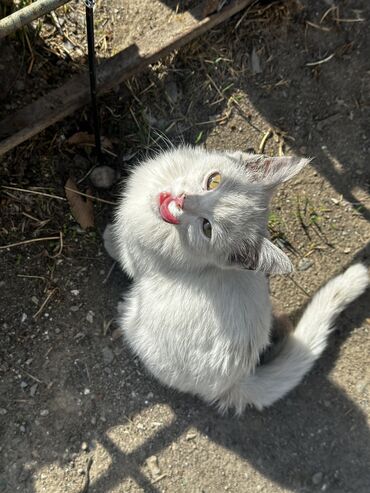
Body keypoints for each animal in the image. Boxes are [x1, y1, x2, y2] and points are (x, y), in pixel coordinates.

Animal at [102, 145, 368, 412]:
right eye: (214, 180)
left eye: (207, 228)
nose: (183, 200)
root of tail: (238, 379)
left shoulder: (135, 258)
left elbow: (120, 250)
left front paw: (108, 237)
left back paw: (123, 308)